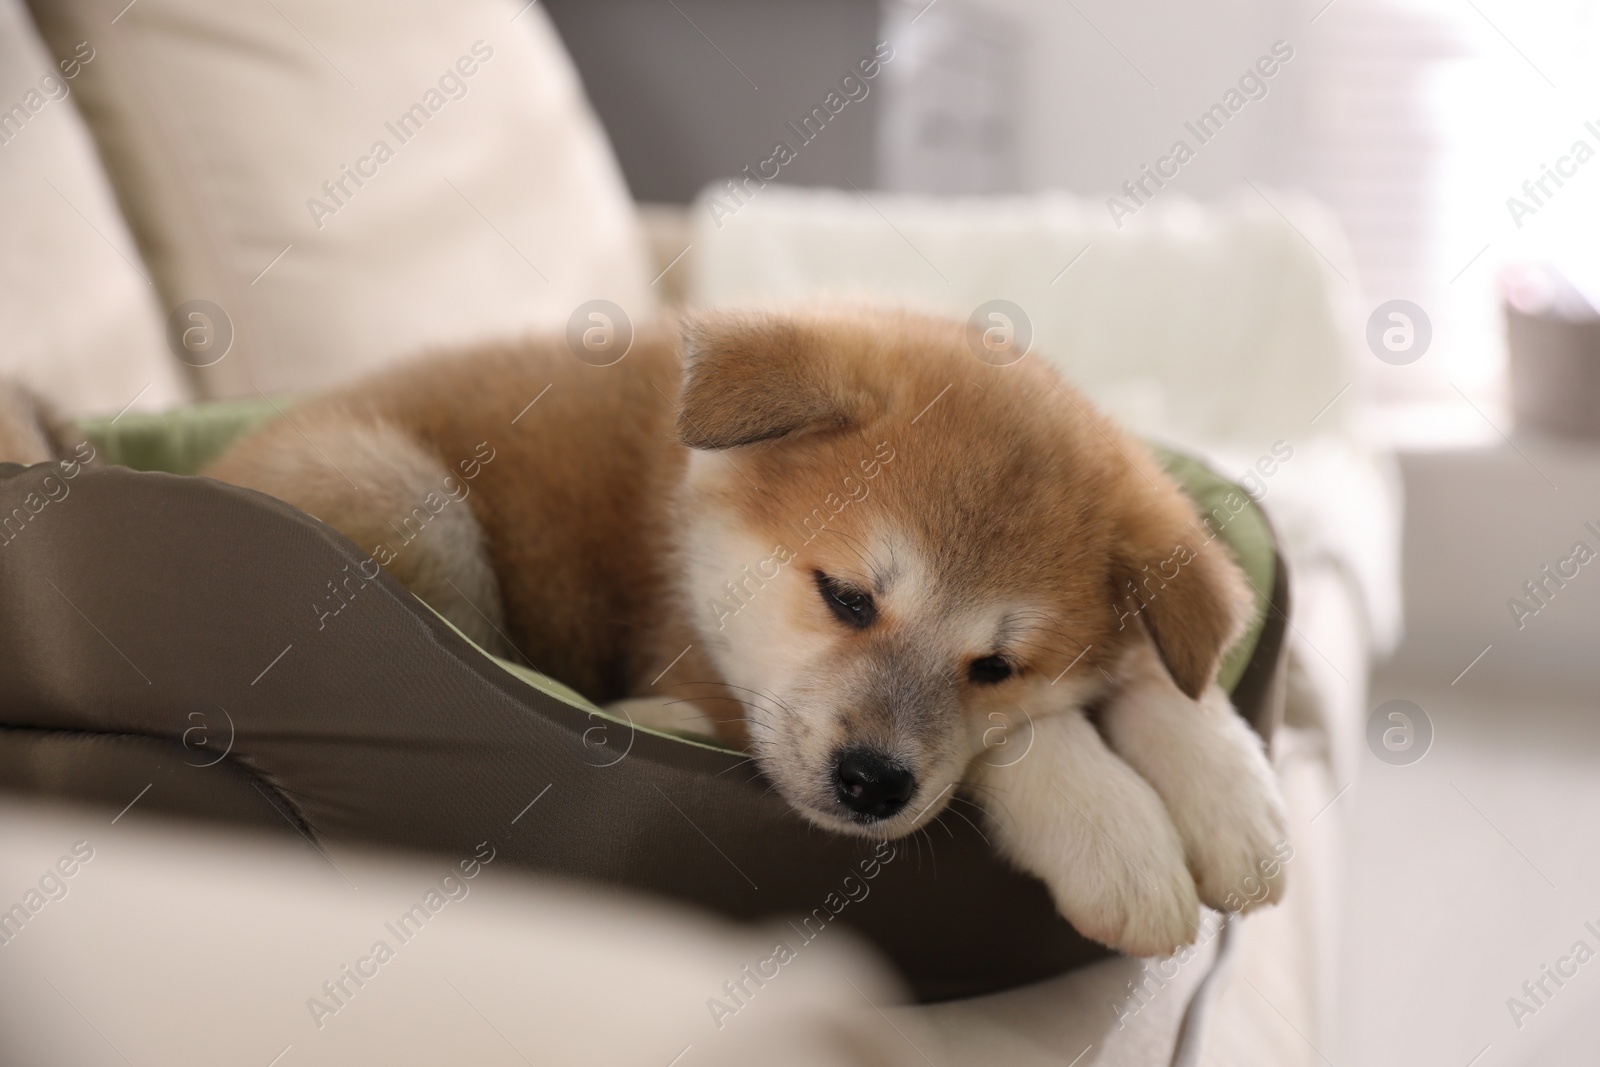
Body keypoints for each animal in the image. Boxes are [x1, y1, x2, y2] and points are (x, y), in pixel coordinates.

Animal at [203, 310, 1286, 959]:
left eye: (995, 665)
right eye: (846, 597)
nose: (872, 783)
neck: (687, 507)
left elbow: (1160, 672)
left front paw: (1234, 795)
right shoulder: (699, 658)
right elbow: (1033, 738)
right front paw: (1114, 829)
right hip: (402, 490)